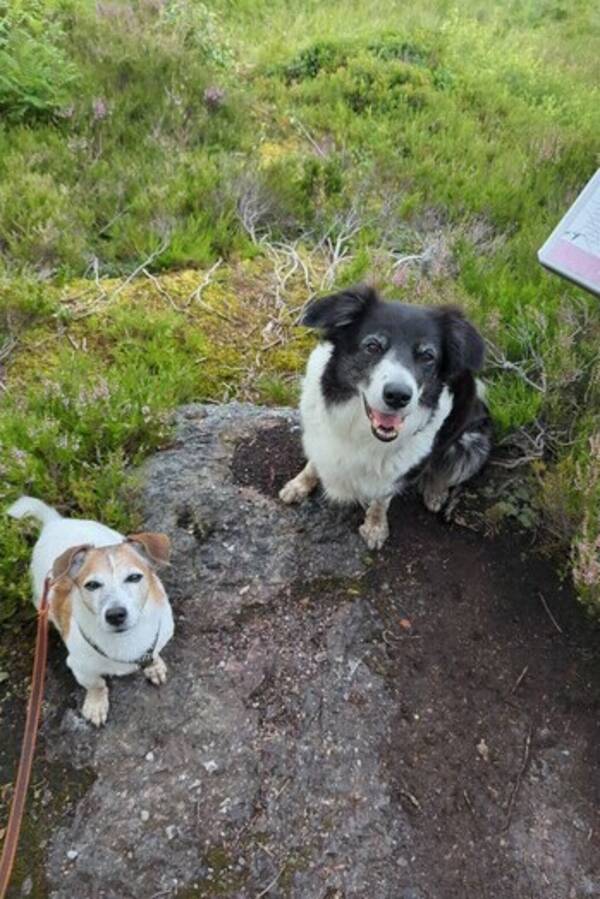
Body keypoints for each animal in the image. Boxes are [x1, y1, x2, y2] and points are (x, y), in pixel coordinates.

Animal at [8, 496, 175, 728]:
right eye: (92, 585)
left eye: (134, 577)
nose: (115, 615)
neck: (126, 640)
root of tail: (55, 522)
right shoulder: (80, 668)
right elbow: (96, 684)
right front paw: (96, 704)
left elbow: (155, 652)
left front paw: (154, 665)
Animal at [282, 286, 492, 548]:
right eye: (372, 346)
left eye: (427, 356)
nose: (398, 396)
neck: (359, 431)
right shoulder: (319, 436)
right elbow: (314, 463)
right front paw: (299, 485)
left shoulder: (397, 471)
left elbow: (382, 498)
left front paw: (375, 527)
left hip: (472, 443)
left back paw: (436, 491)